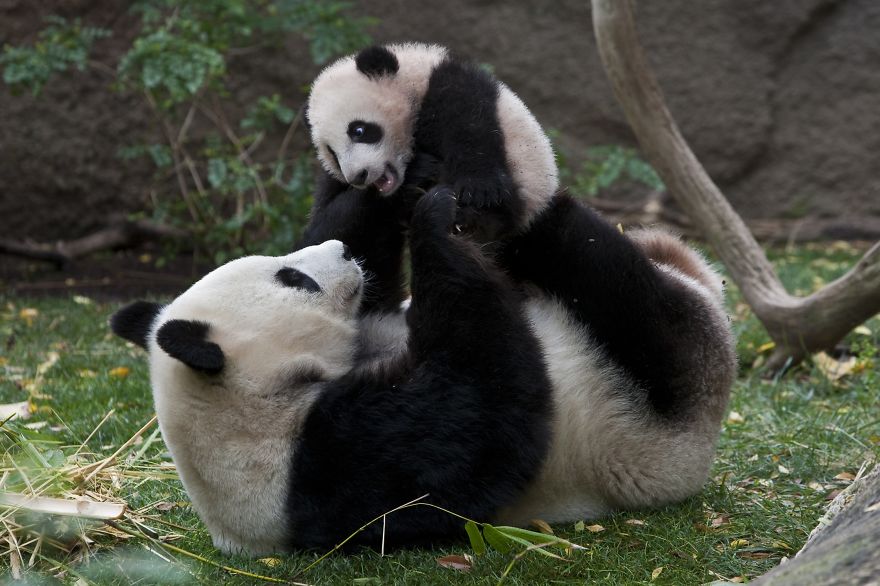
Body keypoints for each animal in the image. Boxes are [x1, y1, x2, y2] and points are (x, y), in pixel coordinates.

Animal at [305, 43, 559, 243]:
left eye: (358, 130)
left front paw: (478, 189)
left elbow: (470, 126)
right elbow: (323, 231)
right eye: (332, 154)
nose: (358, 176)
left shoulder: (450, 87)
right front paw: (419, 172)